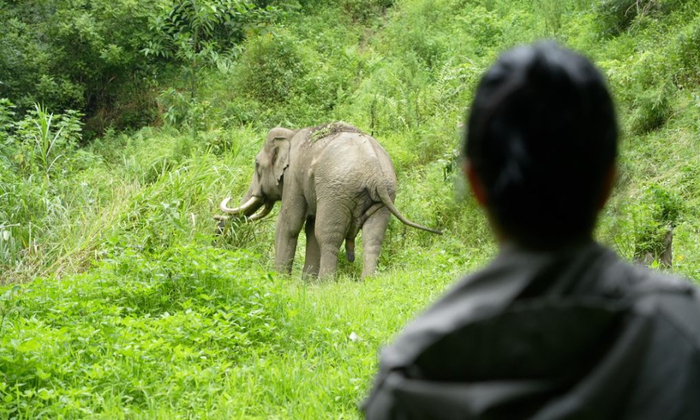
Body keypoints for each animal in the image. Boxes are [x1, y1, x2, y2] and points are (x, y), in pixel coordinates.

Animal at [217, 122, 441, 279]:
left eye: (256, 164)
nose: (218, 229)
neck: (292, 132)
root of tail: (374, 169)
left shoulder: (294, 178)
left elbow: (290, 225)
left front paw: (280, 281)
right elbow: (309, 226)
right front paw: (304, 283)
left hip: (336, 190)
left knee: (327, 235)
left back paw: (324, 285)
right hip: (384, 193)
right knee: (373, 238)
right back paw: (367, 281)